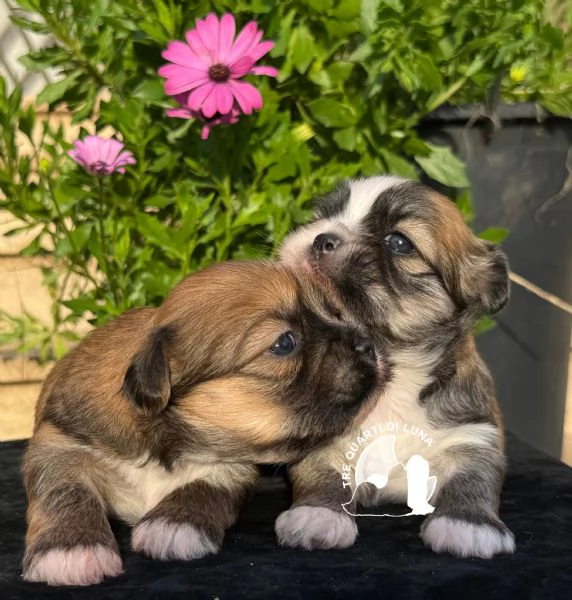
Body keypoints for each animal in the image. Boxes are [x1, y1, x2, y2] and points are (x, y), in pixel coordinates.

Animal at [21, 258, 384, 584]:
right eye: (284, 342)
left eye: (334, 314)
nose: (371, 346)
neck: (164, 439)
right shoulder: (58, 442)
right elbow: (65, 489)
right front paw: (70, 550)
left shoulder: (230, 463)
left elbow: (206, 484)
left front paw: (174, 525)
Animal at [278, 176, 512, 560]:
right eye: (322, 216)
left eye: (399, 242)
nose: (322, 237)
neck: (391, 374)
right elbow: (322, 475)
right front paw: (317, 516)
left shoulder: (473, 434)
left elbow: (474, 478)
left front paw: (468, 525)